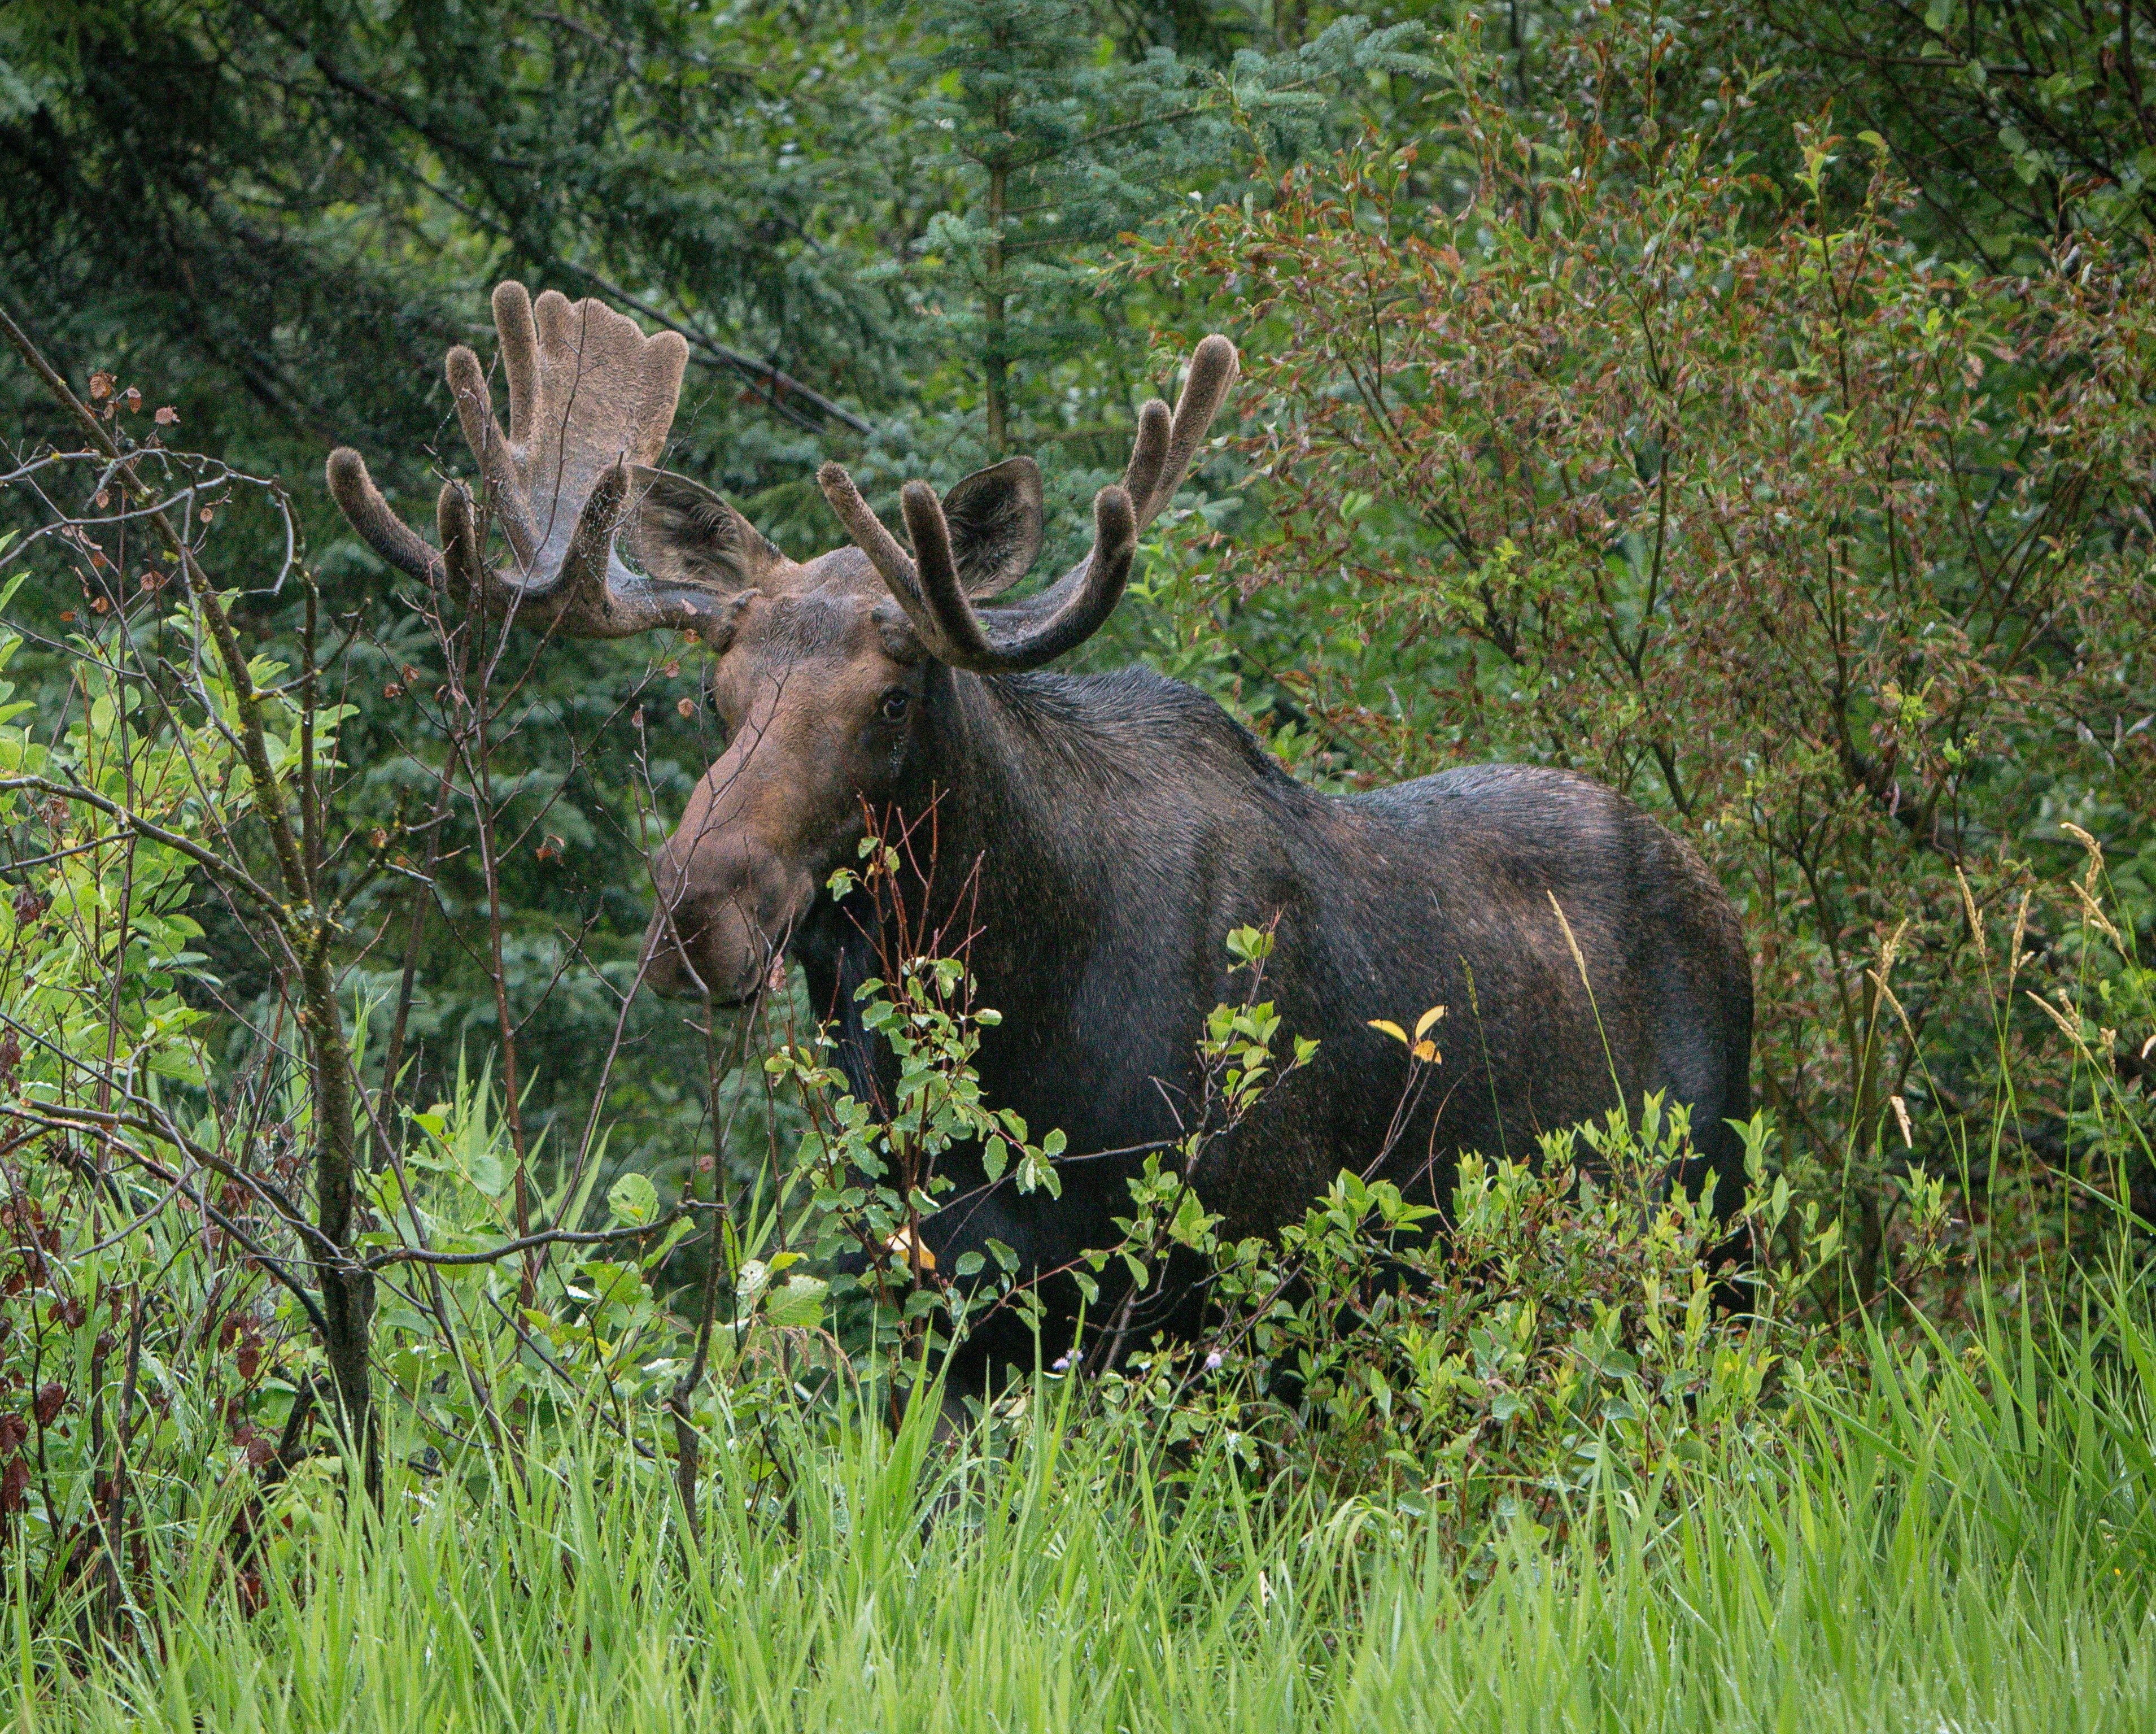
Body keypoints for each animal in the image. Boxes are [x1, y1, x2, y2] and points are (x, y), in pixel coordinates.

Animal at [328, 280, 1759, 1397]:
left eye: (894, 697)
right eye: (715, 697)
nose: (696, 909)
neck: (1018, 1030)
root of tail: (1722, 900)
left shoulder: (1222, 1271)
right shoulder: (946, 1307)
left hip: (1710, 1218)